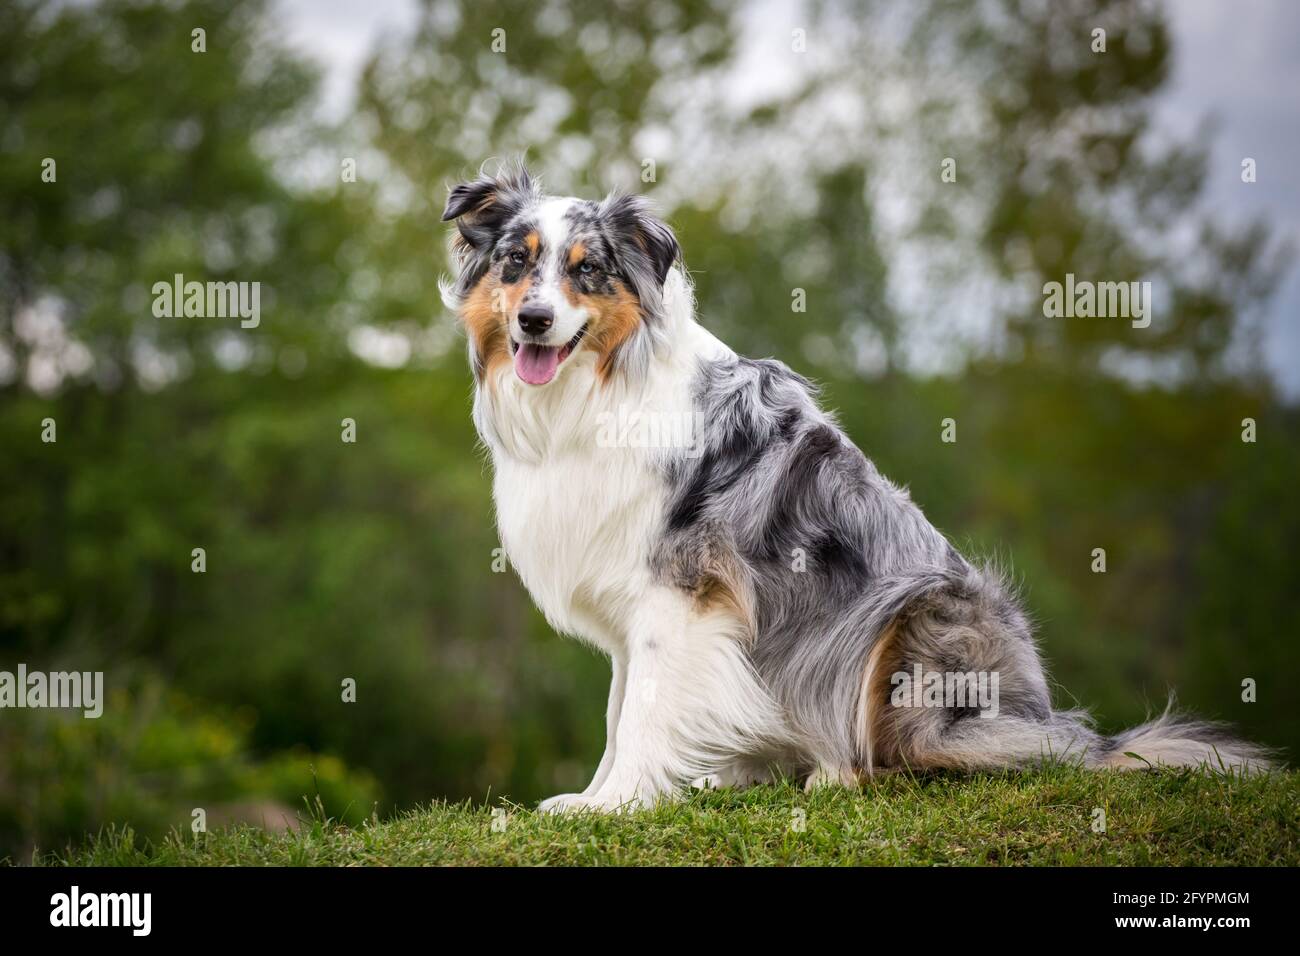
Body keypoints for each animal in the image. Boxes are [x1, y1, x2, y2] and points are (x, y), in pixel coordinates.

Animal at [441, 160, 1274, 811]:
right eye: (516, 263)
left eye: (587, 269)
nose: (535, 320)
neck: (595, 390)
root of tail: (1062, 728)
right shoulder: (633, 592)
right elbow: (621, 713)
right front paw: (593, 797)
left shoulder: (679, 590)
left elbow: (644, 713)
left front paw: (617, 804)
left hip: (914, 624)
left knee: (931, 760)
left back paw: (838, 774)